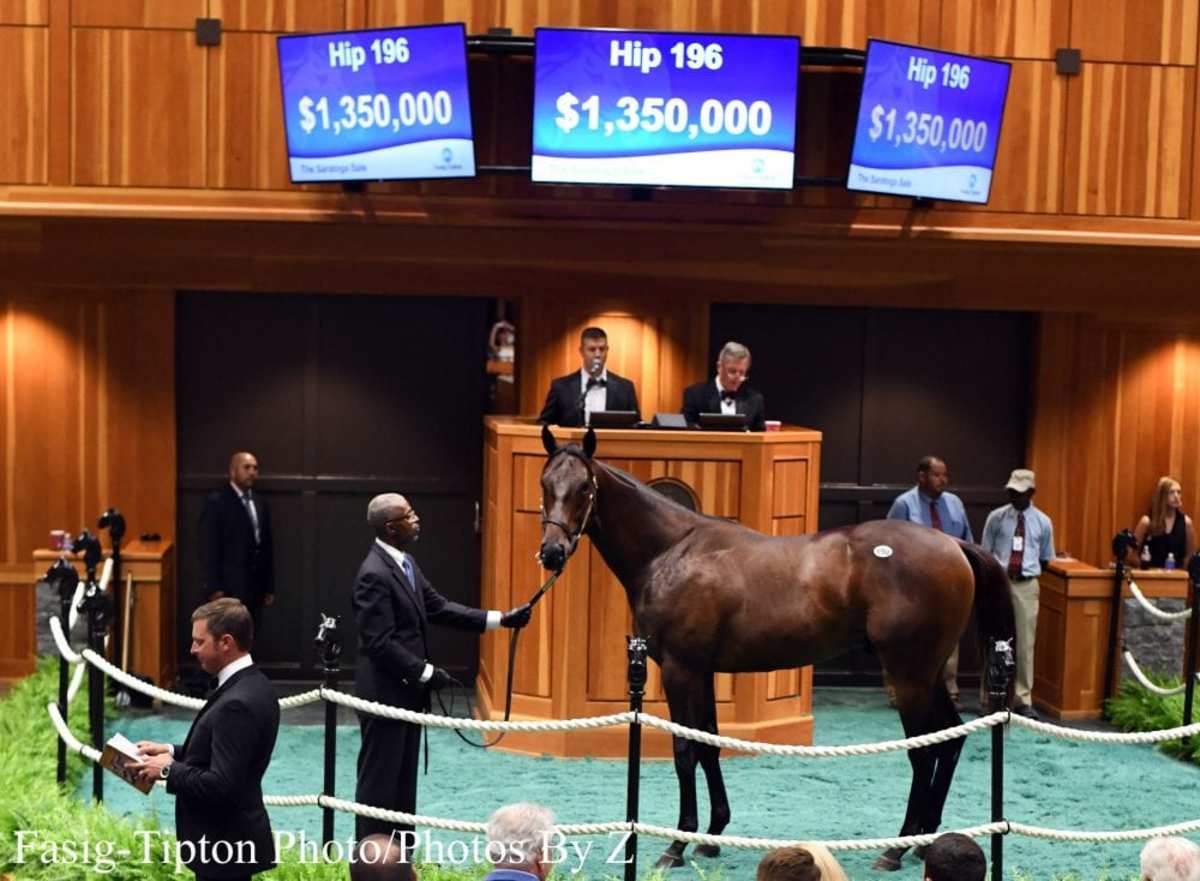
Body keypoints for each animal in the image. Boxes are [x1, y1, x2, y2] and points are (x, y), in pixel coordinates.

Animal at [540, 429, 1017, 878]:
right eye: (546, 483)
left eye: (584, 487)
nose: (551, 552)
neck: (672, 551)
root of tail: (952, 544)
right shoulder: (702, 671)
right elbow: (710, 742)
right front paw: (712, 836)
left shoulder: (679, 669)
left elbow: (685, 750)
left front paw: (676, 845)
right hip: (927, 671)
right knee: (950, 737)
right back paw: (924, 843)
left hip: (908, 674)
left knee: (923, 751)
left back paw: (895, 850)